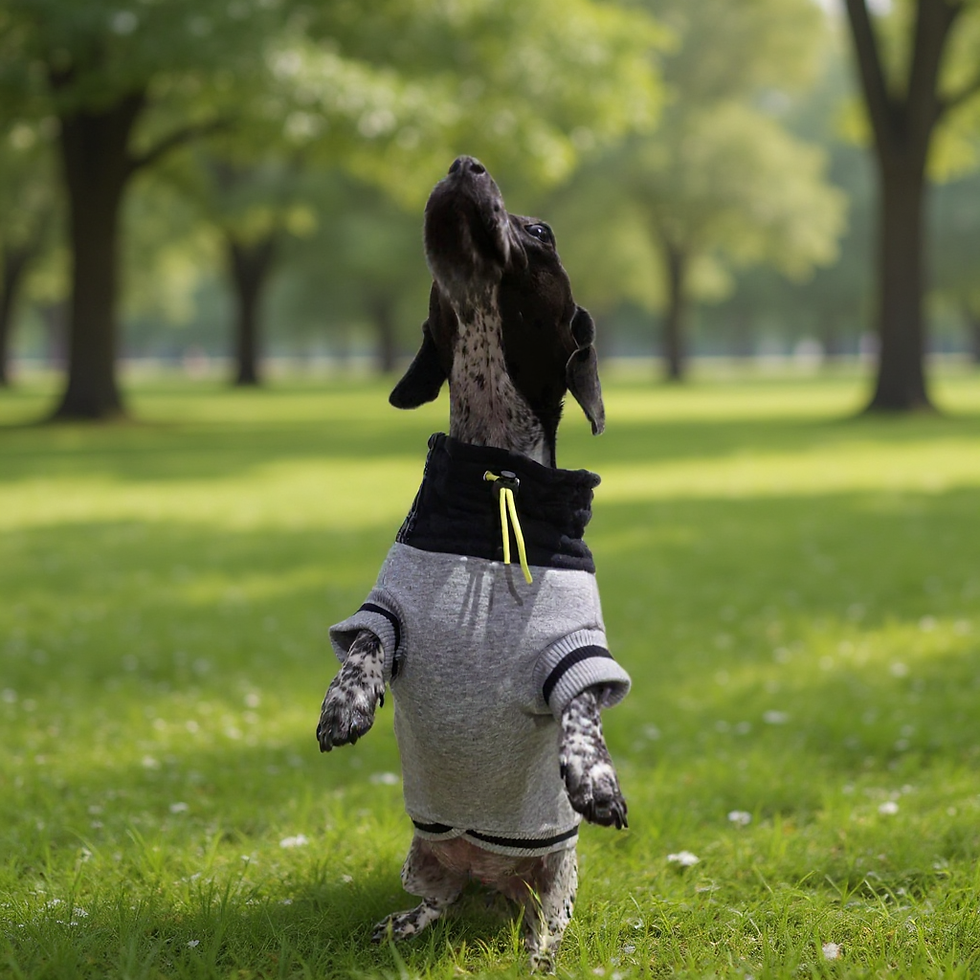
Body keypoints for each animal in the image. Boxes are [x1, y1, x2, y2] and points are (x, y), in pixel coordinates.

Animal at [316, 156, 630, 972]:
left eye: (542, 230)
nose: (462, 163)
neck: (495, 478)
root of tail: (491, 878)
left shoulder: (575, 650)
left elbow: (582, 711)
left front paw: (595, 777)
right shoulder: (388, 606)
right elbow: (365, 645)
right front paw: (345, 704)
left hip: (557, 870)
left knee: (545, 920)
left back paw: (538, 954)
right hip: (426, 858)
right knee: (438, 900)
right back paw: (406, 924)